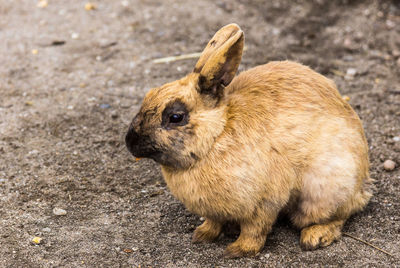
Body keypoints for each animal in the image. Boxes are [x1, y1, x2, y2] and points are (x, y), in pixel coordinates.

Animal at [124, 23, 372, 258]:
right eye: (149, 94)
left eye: (175, 117)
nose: (130, 142)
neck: (216, 136)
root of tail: (362, 185)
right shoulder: (215, 210)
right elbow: (213, 222)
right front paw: (202, 235)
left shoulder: (264, 202)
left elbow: (255, 229)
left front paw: (237, 251)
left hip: (325, 190)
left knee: (340, 215)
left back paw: (315, 236)